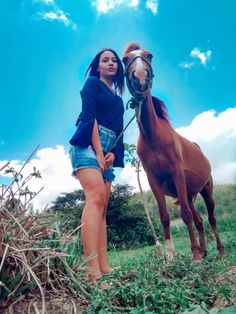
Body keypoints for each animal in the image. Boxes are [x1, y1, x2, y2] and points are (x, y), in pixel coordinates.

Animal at [123, 43, 225, 262]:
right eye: (125, 59)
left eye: (149, 56)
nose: (141, 78)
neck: (154, 138)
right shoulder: (153, 181)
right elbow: (164, 217)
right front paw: (170, 257)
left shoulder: (177, 173)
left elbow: (185, 215)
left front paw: (194, 255)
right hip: (189, 193)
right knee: (199, 220)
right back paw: (205, 251)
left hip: (206, 190)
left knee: (211, 218)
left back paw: (219, 250)